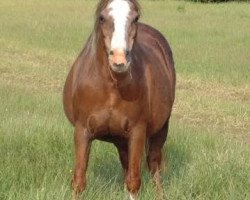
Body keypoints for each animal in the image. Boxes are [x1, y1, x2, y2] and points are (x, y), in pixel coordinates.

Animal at [63, 0, 176, 198]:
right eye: (102, 17)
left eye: (135, 18)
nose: (119, 59)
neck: (111, 87)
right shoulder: (82, 131)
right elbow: (79, 181)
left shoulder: (137, 132)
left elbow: (133, 182)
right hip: (121, 140)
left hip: (160, 130)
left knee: (153, 164)